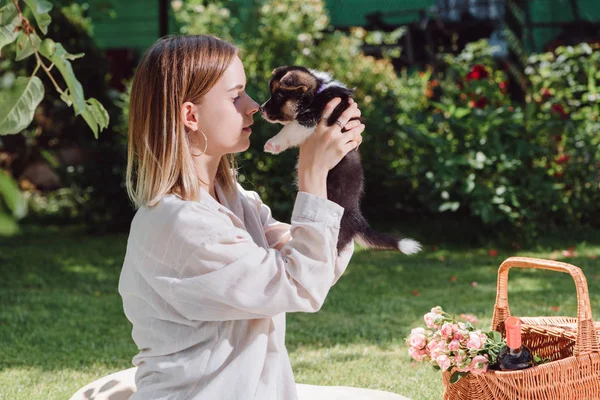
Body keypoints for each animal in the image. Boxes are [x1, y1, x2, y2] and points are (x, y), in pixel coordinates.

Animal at [258, 65, 422, 253]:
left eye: (277, 96)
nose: (260, 109)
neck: (317, 93)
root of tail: (357, 217)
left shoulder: (310, 117)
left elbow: (290, 129)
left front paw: (272, 144)